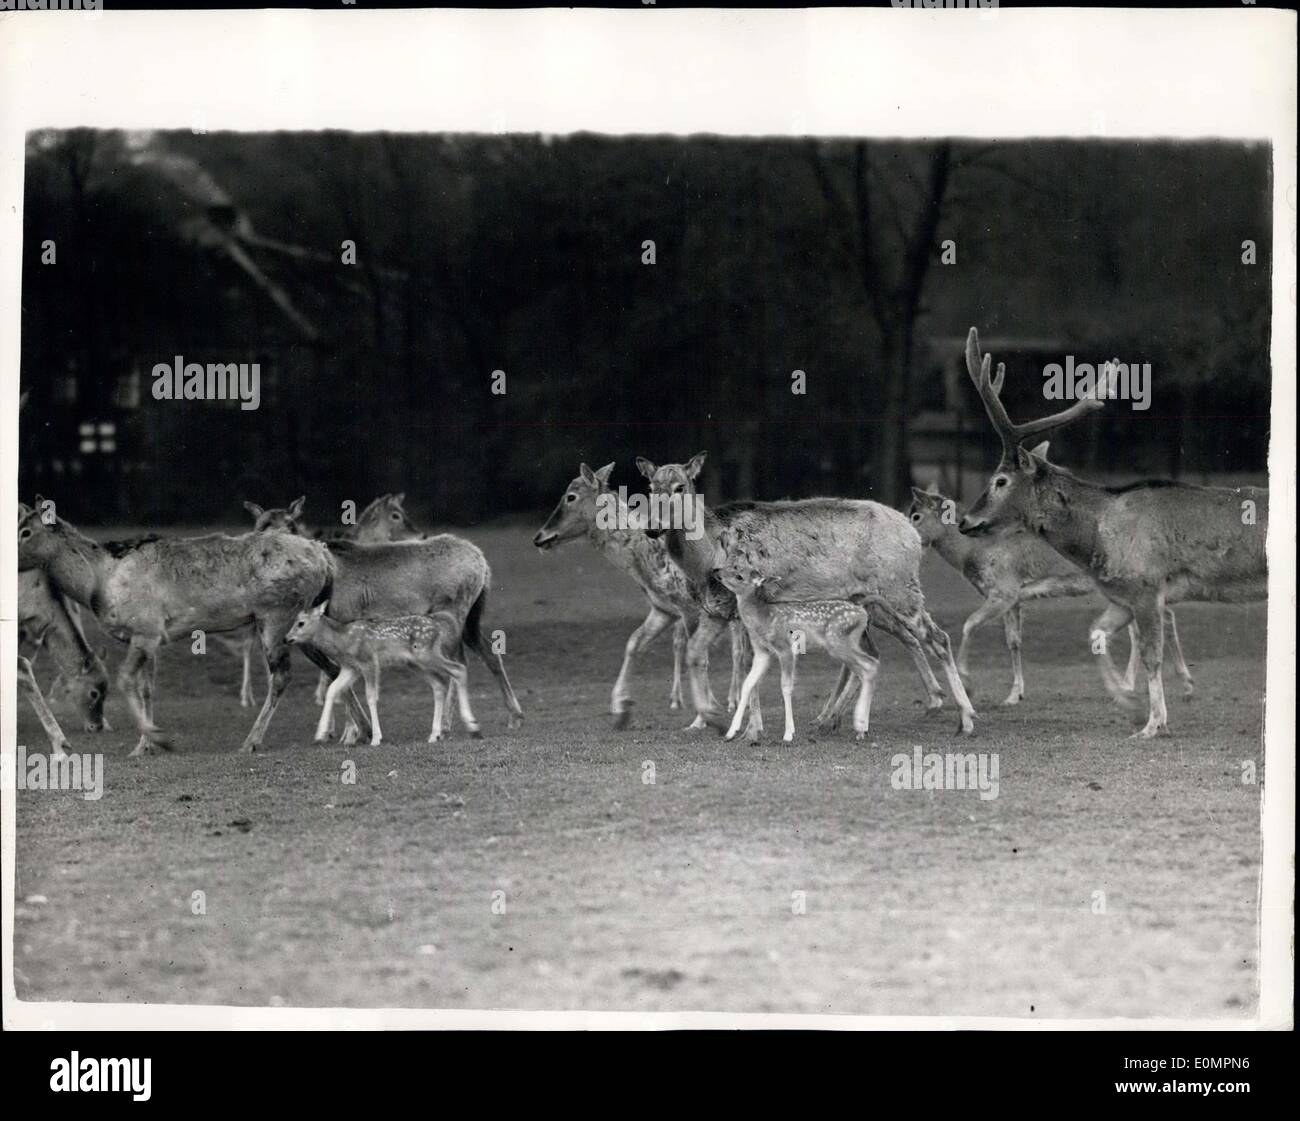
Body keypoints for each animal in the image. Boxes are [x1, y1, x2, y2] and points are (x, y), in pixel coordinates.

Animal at [17, 499, 338, 754]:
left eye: (25, 531)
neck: (97, 584)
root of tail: (325, 557)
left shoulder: (146, 628)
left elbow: (126, 680)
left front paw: (158, 739)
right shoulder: (151, 637)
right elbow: (147, 688)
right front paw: (143, 746)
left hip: (276, 615)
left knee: (283, 675)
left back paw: (252, 740)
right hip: (300, 625)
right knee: (332, 667)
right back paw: (340, 732)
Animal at [530, 462, 754, 733]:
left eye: (570, 496)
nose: (540, 537)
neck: (646, 566)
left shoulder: (691, 608)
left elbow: (700, 654)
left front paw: (703, 716)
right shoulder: (664, 609)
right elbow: (634, 642)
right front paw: (621, 709)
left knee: (740, 649)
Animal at [639, 457, 977, 738]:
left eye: (680, 486)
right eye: (651, 487)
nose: (652, 528)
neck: (704, 562)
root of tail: (912, 534)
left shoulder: (743, 606)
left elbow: (745, 665)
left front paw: (750, 727)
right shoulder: (715, 611)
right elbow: (699, 655)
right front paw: (706, 721)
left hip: (900, 589)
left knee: (937, 637)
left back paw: (966, 718)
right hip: (868, 603)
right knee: (875, 651)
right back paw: (831, 719)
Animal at [904, 478, 1190, 707]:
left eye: (915, 515)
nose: (905, 537)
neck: (974, 552)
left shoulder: (1004, 590)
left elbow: (969, 623)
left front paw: (968, 684)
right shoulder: (1014, 600)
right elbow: (1013, 641)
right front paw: (1014, 695)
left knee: (1163, 619)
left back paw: (1181, 684)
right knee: (1150, 625)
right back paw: (1135, 686)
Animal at [961, 329, 1263, 743]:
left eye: (1000, 481)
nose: (965, 520)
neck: (1098, 539)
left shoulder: (1147, 585)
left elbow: (1152, 654)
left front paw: (1152, 723)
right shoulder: (1123, 595)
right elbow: (1095, 635)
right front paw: (1131, 704)